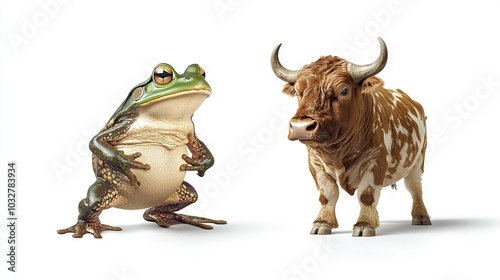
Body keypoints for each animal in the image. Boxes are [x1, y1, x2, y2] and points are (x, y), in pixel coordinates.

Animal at [272, 37, 432, 236]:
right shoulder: (315, 164)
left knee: (415, 187)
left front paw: (364, 224)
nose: (300, 127)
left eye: (344, 91)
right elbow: (328, 194)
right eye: (299, 91)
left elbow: (366, 194)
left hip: (418, 161)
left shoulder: (376, 161)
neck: (337, 153)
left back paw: (421, 217)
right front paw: (322, 222)